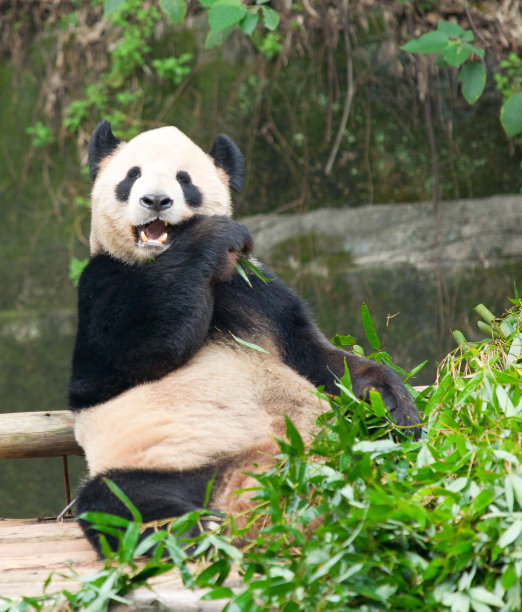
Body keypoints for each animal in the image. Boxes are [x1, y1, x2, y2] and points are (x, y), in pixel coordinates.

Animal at [69, 119, 420, 556]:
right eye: (131, 176)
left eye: (184, 180)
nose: (155, 200)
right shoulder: (100, 282)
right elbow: (115, 360)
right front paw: (211, 236)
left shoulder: (257, 291)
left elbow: (316, 354)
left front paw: (392, 404)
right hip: (162, 460)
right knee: (124, 503)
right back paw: (194, 536)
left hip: (344, 446)